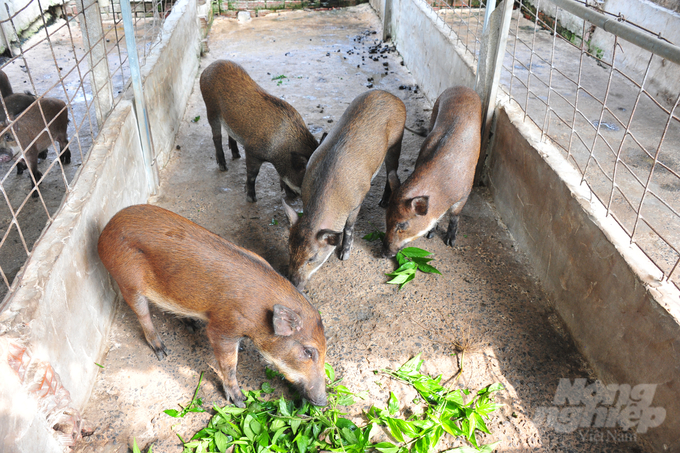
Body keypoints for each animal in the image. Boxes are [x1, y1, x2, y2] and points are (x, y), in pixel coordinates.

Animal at [97, 205, 328, 406]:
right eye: (308, 352)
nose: (324, 402)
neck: (260, 315)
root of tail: (105, 230)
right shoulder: (223, 329)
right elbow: (230, 365)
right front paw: (240, 401)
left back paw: (191, 325)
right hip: (127, 282)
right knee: (143, 315)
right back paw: (162, 351)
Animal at [199, 60, 324, 203]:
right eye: (307, 182)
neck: (280, 145)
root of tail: (208, 68)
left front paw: (289, 194)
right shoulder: (251, 150)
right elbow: (252, 175)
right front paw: (251, 199)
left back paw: (236, 155)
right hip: (211, 109)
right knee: (216, 137)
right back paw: (223, 167)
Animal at [284, 89, 406, 290]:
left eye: (312, 258)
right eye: (289, 249)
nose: (293, 284)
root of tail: (391, 95)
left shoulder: (357, 202)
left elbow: (349, 226)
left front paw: (343, 256)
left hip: (396, 142)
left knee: (392, 171)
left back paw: (383, 202)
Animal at [382, 86, 484, 256]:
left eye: (402, 225)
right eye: (386, 217)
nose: (384, 253)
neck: (443, 188)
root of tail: (461, 87)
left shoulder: (464, 194)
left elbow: (454, 216)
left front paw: (450, 242)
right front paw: (430, 234)